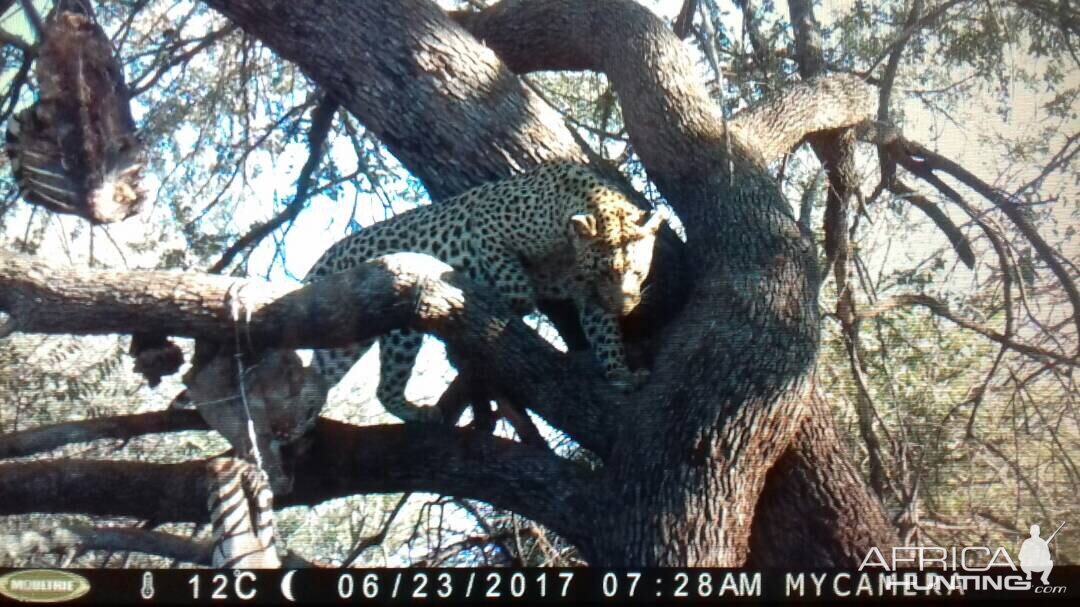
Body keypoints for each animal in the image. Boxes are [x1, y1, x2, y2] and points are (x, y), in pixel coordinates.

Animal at [304, 163, 665, 423]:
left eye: (636, 272)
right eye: (607, 272)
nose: (625, 307)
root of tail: (326, 258)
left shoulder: (590, 294)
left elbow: (604, 333)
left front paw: (620, 375)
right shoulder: (487, 229)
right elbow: (518, 285)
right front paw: (507, 300)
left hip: (344, 335)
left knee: (318, 376)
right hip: (399, 322)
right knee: (384, 385)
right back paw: (418, 413)